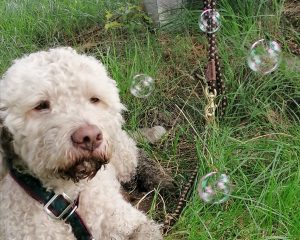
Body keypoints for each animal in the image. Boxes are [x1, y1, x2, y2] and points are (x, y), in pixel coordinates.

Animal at [0, 47, 163, 240]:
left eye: (94, 99)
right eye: (40, 105)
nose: (90, 137)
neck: (68, 199)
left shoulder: (133, 224)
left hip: (122, 154)